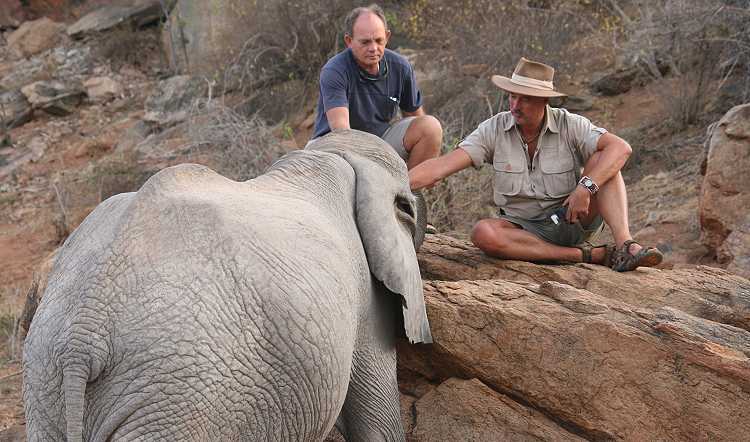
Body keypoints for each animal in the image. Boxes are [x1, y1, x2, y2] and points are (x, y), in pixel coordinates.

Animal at [23, 129, 432, 442]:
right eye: (409, 212)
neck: (332, 155)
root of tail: (84, 335)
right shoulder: (365, 298)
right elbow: (376, 424)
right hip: (180, 392)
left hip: (48, 383)